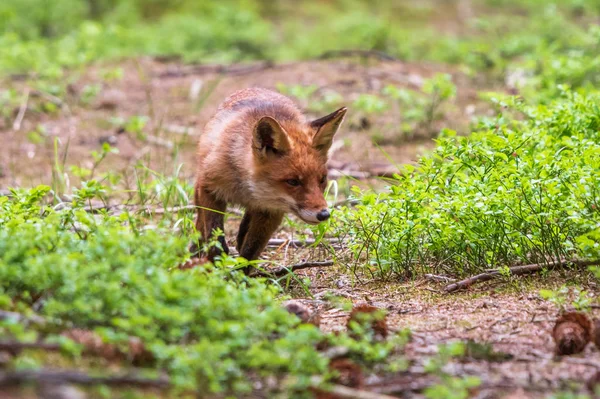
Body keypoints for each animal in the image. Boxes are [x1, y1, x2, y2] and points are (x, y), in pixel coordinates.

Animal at [190, 86, 344, 270]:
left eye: (322, 180)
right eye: (293, 181)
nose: (324, 214)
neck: (247, 189)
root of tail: (256, 87)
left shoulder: (272, 212)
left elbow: (249, 253)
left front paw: (238, 276)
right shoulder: (210, 189)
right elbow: (215, 241)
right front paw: (215, 269)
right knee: (200, 225)